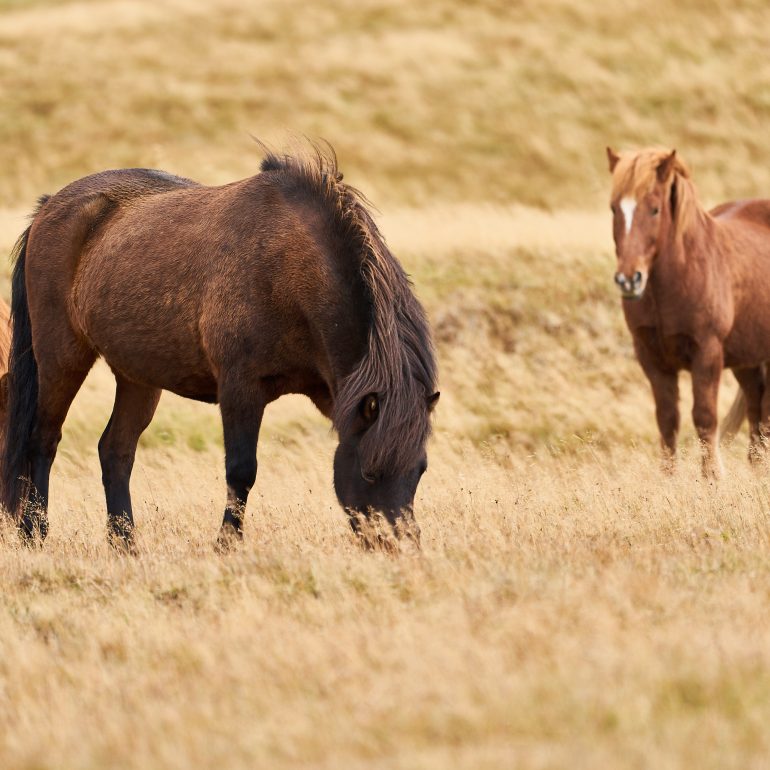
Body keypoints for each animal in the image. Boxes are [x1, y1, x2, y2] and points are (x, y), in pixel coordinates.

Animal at [1, 145, 439, 547]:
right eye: (369, 471)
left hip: (137, 377)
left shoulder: (333, 394)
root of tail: (49, 207)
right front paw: (227, 543)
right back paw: (34, 533)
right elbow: (242, 470)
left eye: (420, 471)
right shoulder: (240, 388)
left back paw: (125, 544)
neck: (289, 269)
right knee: (43, 440)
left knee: (116, 451)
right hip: (61, 358)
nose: (401, 546)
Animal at [607, 146, 770, 476]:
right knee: (756, 408)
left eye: (655, 209)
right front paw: (667, 479)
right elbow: (667, 420)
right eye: (614, 208)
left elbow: (705, 418)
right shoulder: (652, 359)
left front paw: (712, 479)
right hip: (747, 360)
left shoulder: (706, 354)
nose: (629, 279)